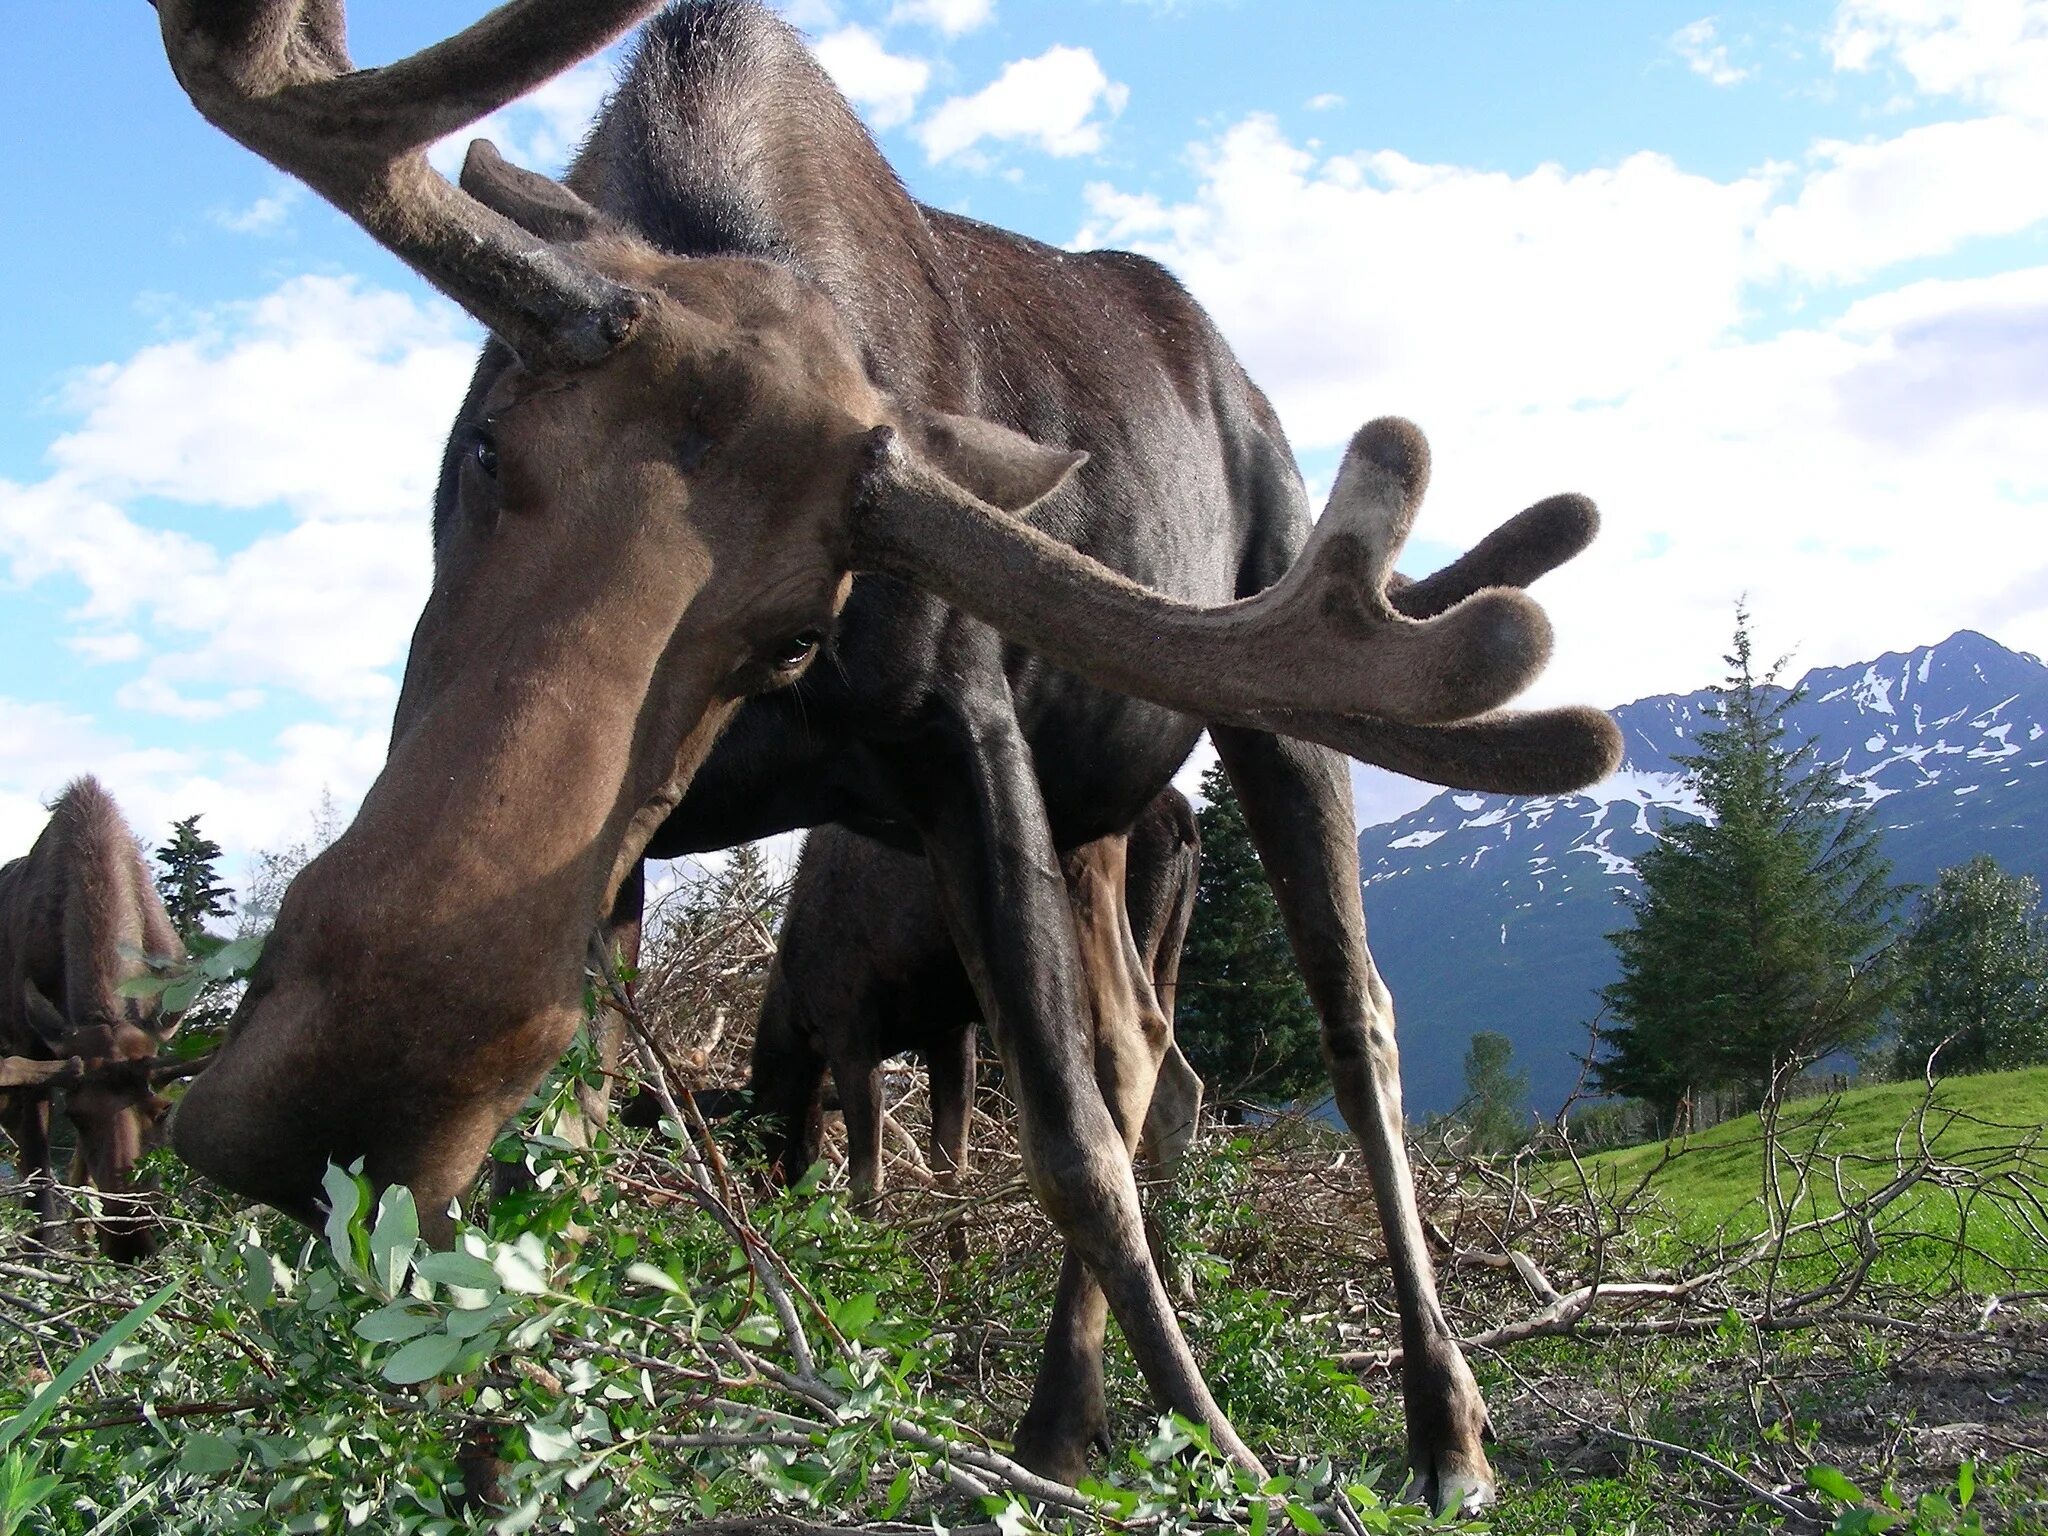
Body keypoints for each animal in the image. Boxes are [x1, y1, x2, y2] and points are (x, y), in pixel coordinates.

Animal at [151, 0, 1622, 1515]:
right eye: (484, 446)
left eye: (798, 628)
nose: (346, 1098)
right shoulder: (638, 851)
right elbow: (561, 1150)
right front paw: (496, 1461)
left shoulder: (966, 740)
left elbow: (1067, 1147)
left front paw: (1226, 1456)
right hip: (1101, 816)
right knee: (1148, 1056)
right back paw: (1076, 1407)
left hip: (1271, 695)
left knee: (1349, 1027)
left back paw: (1431, 1428)